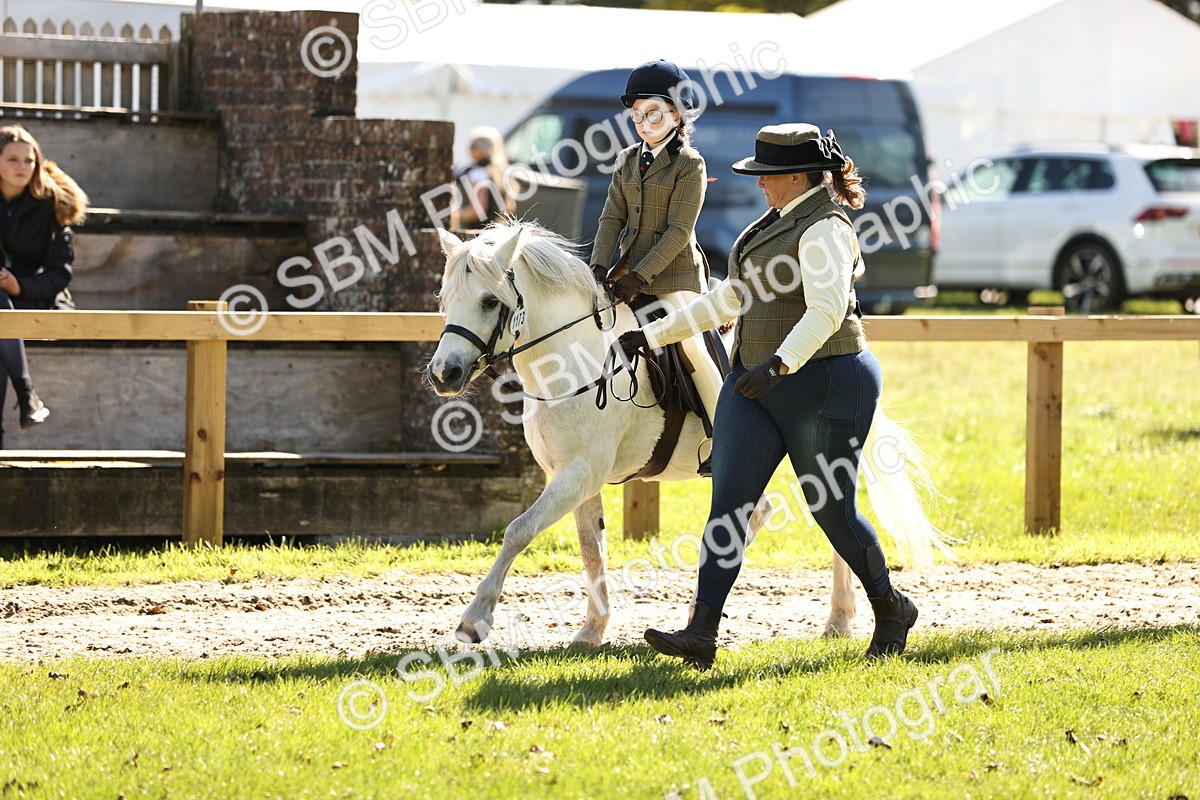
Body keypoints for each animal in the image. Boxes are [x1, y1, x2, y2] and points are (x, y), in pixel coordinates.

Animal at [425, 219, 956, 648]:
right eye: (445, 300)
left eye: (489, 301)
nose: (443, 374)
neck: (576, 360)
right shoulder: (578, 478)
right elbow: (591, 549)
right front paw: (592, 630)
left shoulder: (579, 474)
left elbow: (518, 530)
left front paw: (475, 620)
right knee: (788, 517)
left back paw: (835, 620)